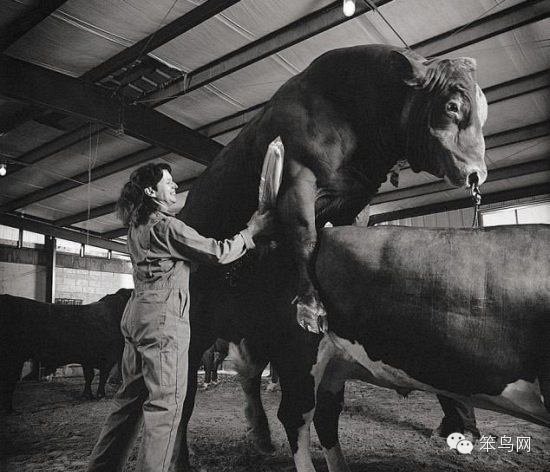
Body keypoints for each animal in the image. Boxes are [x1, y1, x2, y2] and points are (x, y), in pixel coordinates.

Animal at [0, 286, 133, 412]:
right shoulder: (108, 357)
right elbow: (102, 376)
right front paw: (100, 395)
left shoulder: (88, 359)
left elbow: (89, 376)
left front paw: (87, 395)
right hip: (13, 358)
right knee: (9, 380)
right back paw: (9, 408)